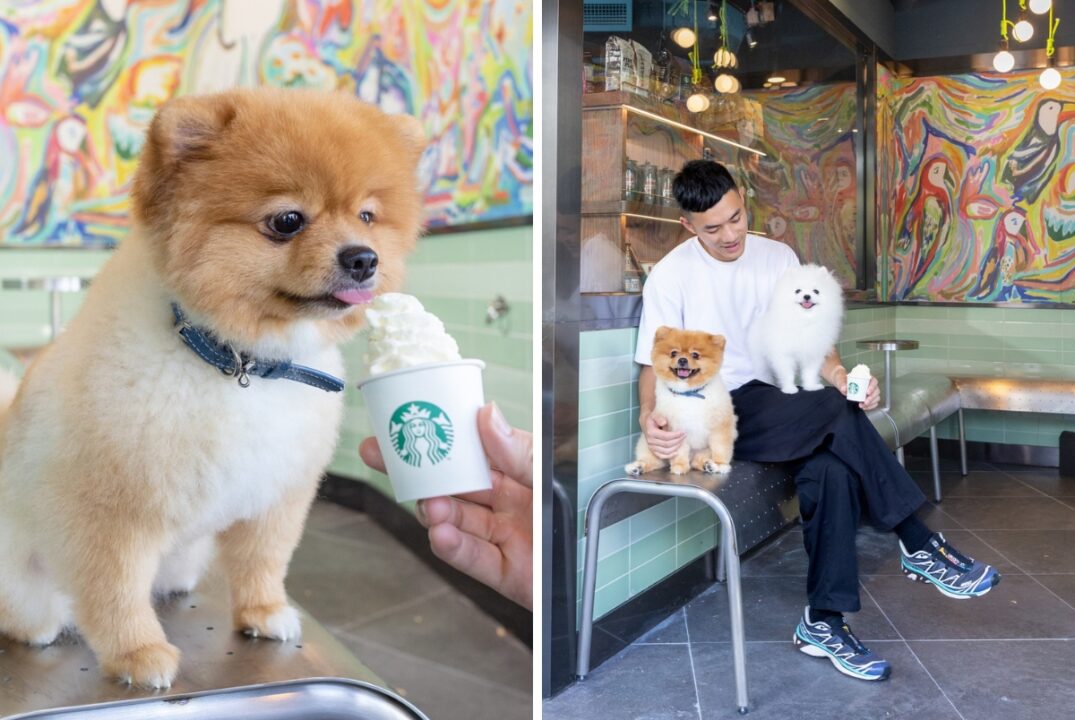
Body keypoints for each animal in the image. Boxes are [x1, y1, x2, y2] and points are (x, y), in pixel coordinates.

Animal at [0, 87, 423, 692]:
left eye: (367, 216)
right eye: (287, 221)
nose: (364, 258)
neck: (237, 362)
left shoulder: (278, 491)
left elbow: (264, 560)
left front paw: (263, 611)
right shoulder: (106, 510)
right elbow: (115, 590)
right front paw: (137, 653)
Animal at [627, 328, 735, 477]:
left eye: (695, 355)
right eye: (674, 353)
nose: (682, 359)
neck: (688, 394)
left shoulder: (720, 425)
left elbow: (721, 447)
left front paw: (720, 464)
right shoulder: (675, 430)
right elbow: (679, 451)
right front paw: (679, 466)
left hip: (703, 451)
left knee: (697, 461)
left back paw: (708, 465)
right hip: (650, 444)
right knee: (653, 461)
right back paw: (637, 467)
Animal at [752, 262, 842, 395]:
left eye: (816, 291)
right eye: (797, 291)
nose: (807, 296)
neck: (804, 320)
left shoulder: (813, 353)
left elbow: (810, 373)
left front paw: (811, 386)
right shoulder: (783, 354)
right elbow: (787, 374)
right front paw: (789, 389)